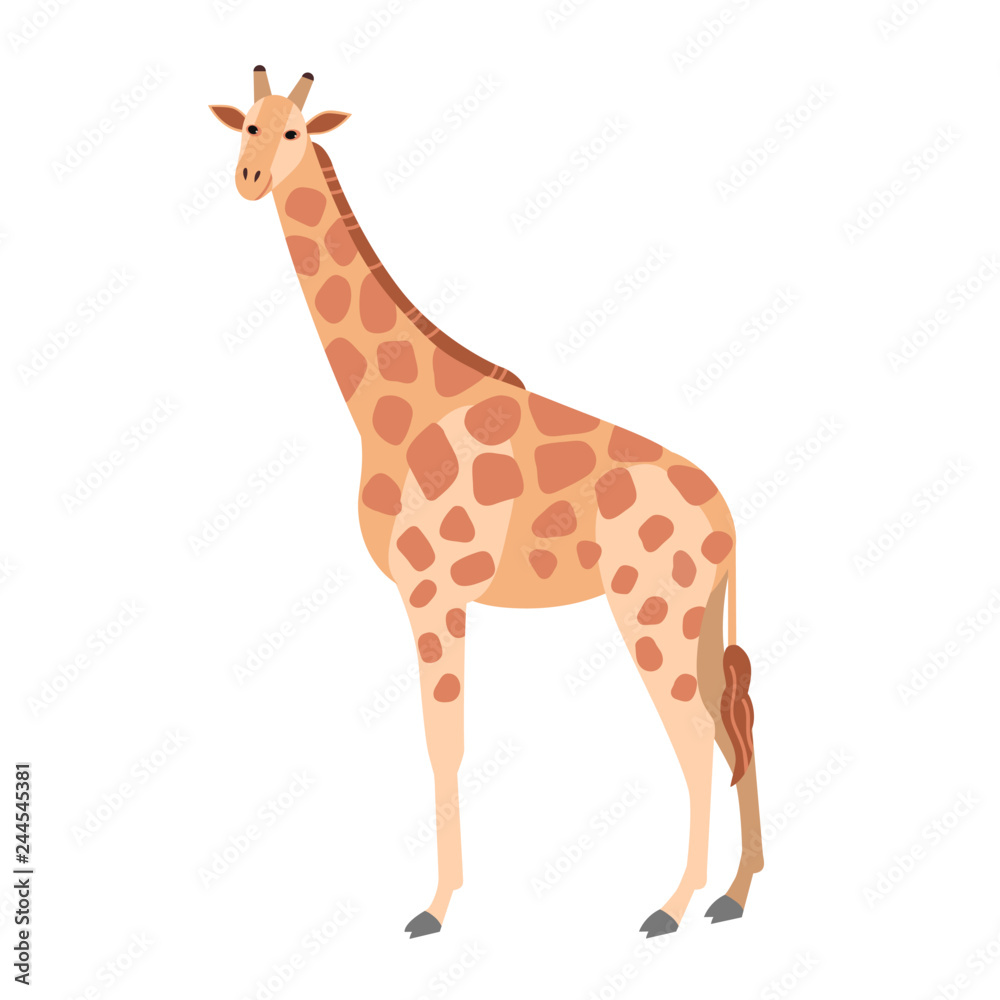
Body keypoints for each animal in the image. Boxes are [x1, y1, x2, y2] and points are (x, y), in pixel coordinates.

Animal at [210, 68, 762, 939]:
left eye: (294, 131)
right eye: (245, 126)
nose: (249, 178)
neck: (393, 411)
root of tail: (729, 521)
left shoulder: (433, 591)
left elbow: (444, 742)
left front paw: (433, 910)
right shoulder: (437, 596)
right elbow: (448, 742)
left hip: (652, 611)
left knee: (698, 733)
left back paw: (670, 907)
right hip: (697, 618)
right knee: (737, 724)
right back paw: (733, 896)